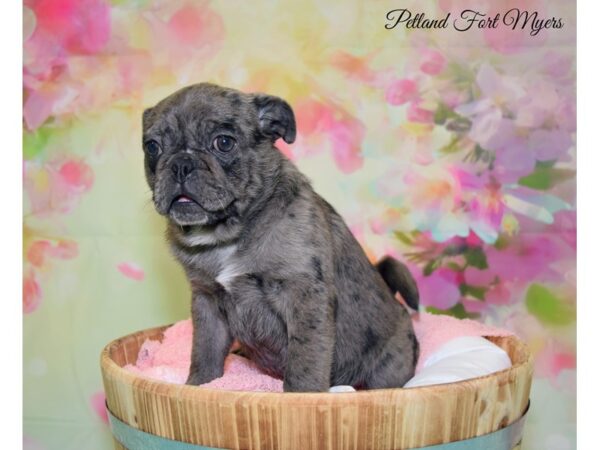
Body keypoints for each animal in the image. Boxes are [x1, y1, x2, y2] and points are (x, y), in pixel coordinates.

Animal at [142, 83, 420, 390]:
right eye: (152, 147)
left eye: (224, 142)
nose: (181, 164)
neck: (226, 235)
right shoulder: (207, 302)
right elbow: (204, 351)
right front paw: (199, 386)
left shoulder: (303, 298)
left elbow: (304, 360)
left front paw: (302, 394)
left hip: (386, 366)